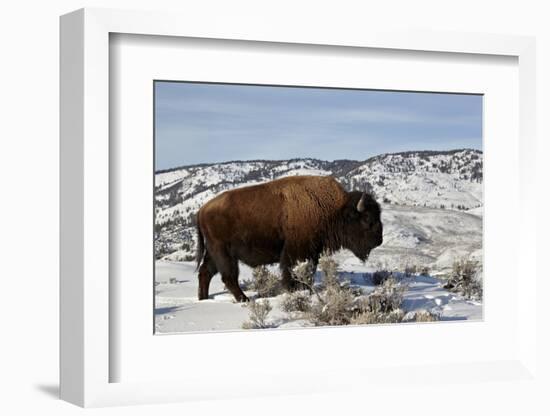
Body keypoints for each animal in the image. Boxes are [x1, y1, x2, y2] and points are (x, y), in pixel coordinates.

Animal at [197, 176, 384, 302]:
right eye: (367, 219)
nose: (379, 240)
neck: (333, 209)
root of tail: (202, 210)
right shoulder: (296, 251)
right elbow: (292, 272)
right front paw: (294, 291)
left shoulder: (312, 252)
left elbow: (308, 272)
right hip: (224, 253)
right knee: (228, 277)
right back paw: (245, 300)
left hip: (214, 252)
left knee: (205, 272)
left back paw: (204, 298)